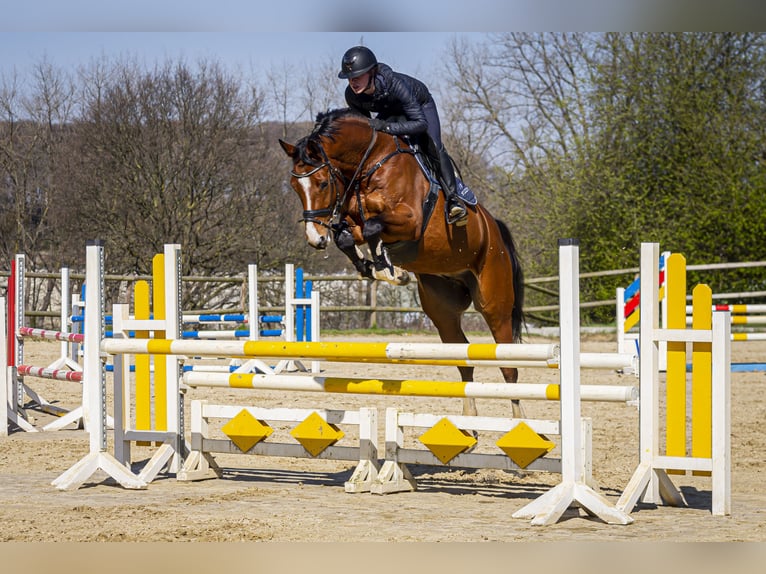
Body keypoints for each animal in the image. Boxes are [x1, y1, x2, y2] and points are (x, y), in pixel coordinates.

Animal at [282, 108, 528, 418]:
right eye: (294, 187)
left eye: (323, 183)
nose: (315, 239)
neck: (371, 162)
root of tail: (494, 227)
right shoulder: (352, 219)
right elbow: (347, 235)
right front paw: (378, 268)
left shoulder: (409, 220)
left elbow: (372, 227)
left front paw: (388, 268)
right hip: (442, 310)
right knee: (463, 359)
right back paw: (469, 422)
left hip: (494, 302)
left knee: (508, 367)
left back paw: (519, 423)